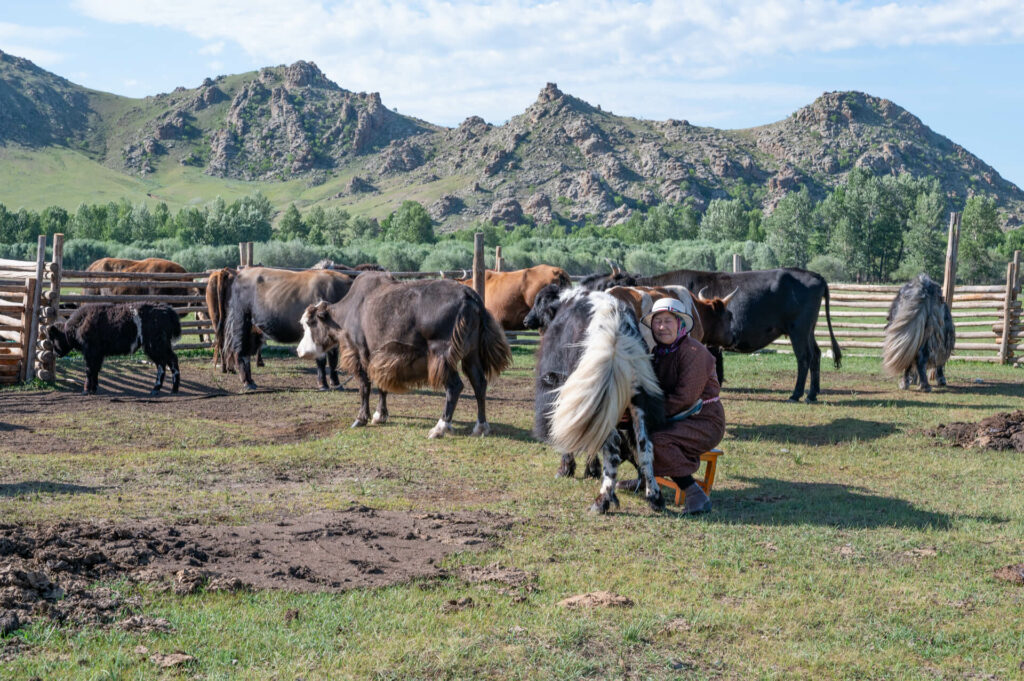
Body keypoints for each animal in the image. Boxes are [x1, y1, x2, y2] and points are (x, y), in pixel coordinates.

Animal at [48, 301, 182, 393]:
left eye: (54, 338)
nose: (55, 353)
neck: (80, 323)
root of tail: (166, 310)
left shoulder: (91, 353)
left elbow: (89, 370)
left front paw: (86, 390)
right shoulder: (98, 355)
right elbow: (96, 370)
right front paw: (94, 388)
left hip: (155, 347)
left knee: (163, 364)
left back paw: (158, 388)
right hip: (161, 347)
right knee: (170, 361)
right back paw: (171, 389)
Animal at [222, 266, 354, 391]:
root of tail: (242, 273)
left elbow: (333, 360)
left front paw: (336, 383)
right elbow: (322, 360)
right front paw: (323, 384)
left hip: (253, 330)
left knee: (247, 354)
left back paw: (251, 381)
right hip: (242, 323)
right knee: (240, 352)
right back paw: (247, 382)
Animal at [296, 272, 512, 438]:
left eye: (310, 323)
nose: (299, 351)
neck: (348, 311)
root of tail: (470, 295)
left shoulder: (361, 353)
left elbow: (364, 386)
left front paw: (361, 419)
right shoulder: (379, 358)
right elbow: (381, 385)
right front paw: (379, 415)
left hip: (442, 355)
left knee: (455, 386)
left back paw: (440, 428)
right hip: (471, 354)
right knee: (479, 383)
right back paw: (481, 427)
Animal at [581, 266, 843, 401]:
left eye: (605, 286)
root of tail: (815, 275)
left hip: (798, 329)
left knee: (804, 358)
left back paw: (798, 394)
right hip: (808, 330)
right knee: (815, 355)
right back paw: (813, 392)